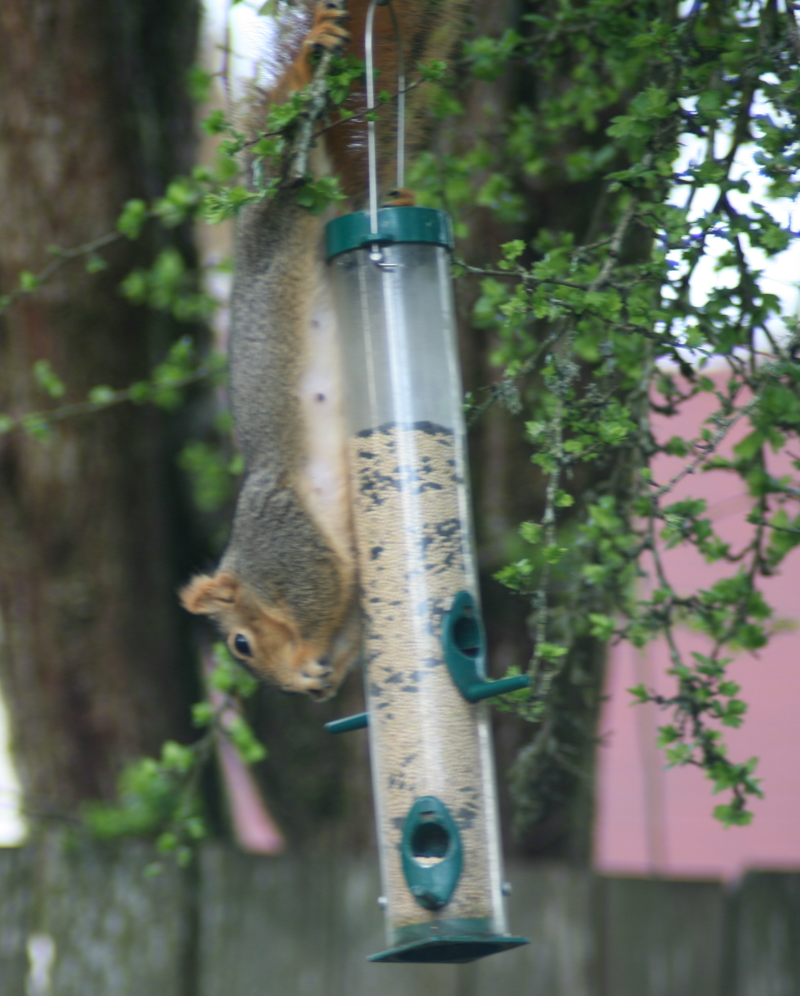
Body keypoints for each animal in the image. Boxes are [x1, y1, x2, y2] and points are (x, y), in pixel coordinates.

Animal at [180, 0, 465, 700]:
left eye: (241, 644)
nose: (306, 694)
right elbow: (351, 621)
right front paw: (328, 669)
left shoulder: (286, 540)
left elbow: (315, 588)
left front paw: (310, 655)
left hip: (270, 218)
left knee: (285, 154)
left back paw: (311, 61)